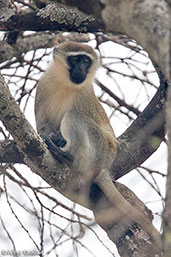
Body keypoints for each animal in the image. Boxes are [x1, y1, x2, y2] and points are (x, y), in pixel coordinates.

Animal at [35, 41, 162, 249]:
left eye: (86, 61)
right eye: (75, 59)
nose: (81, 69)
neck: (65, 83)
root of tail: (105, 166)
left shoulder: (85, 94)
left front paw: (59, 141)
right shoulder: (43, 86)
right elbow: (43, 126)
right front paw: (51, 137)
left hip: (102, 149)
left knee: (75, 116)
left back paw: (68, 156)